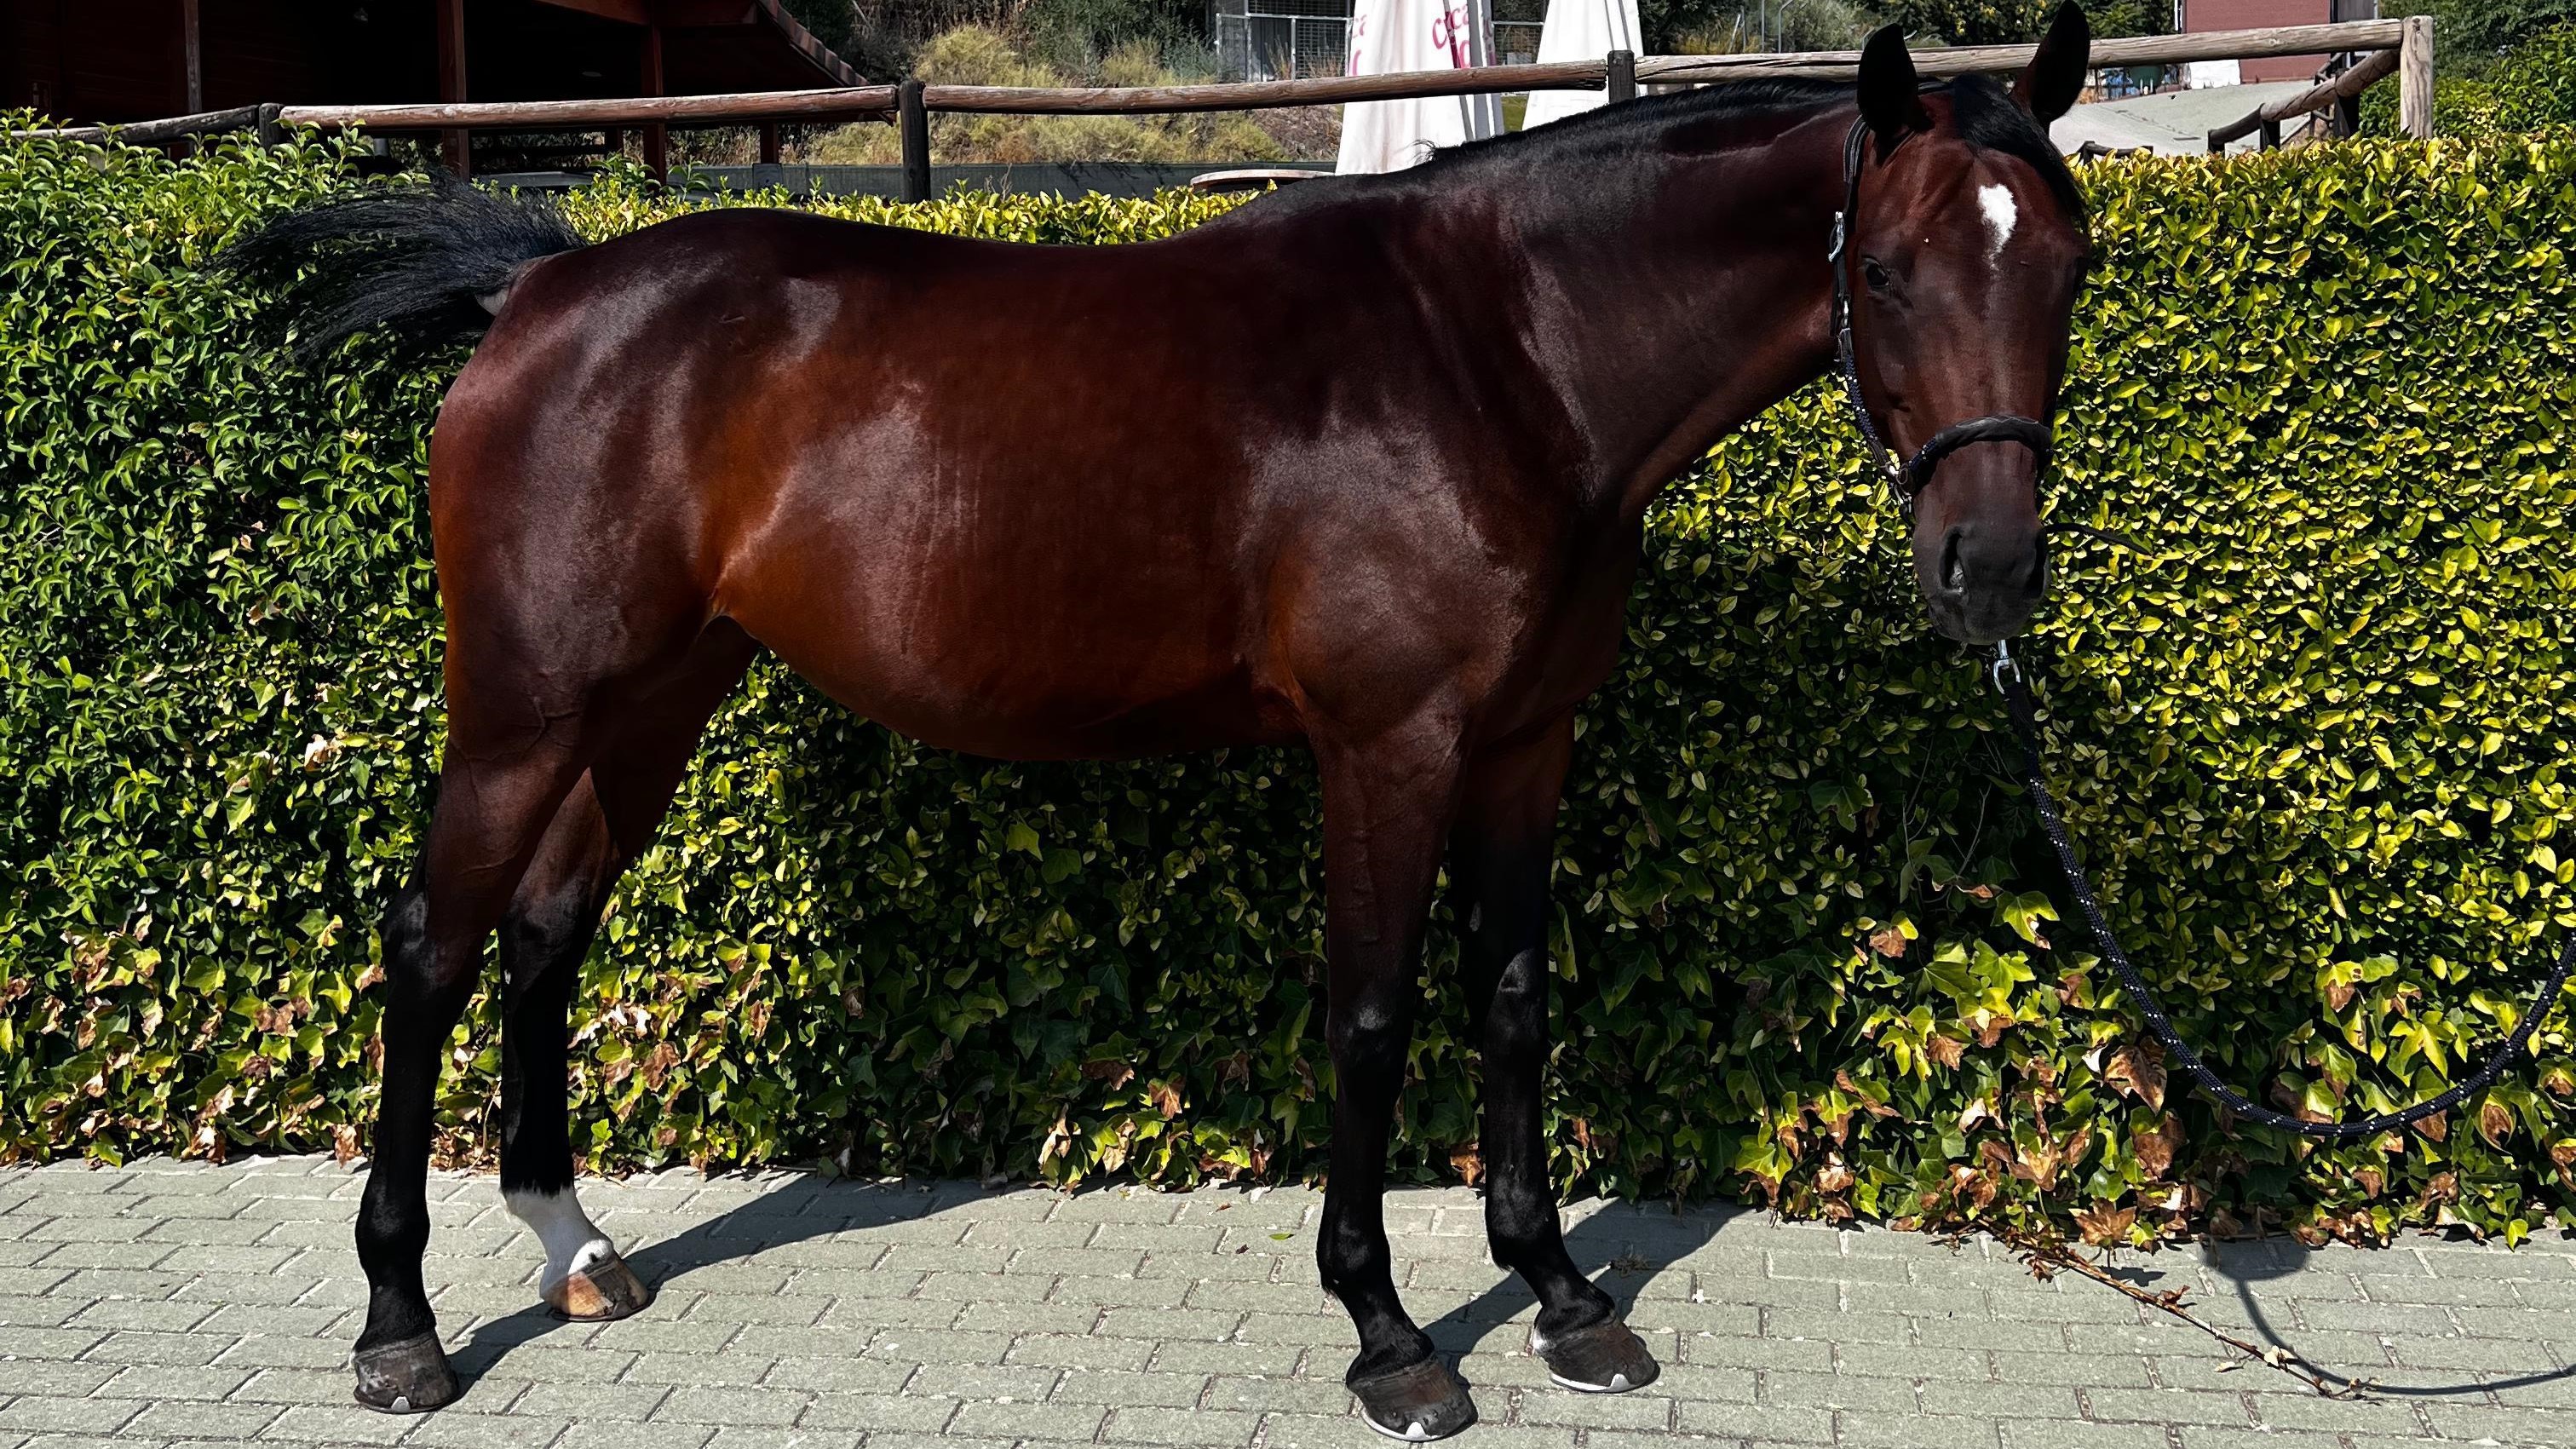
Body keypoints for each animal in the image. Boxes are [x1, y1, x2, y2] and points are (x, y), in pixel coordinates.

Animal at [225, 7, 2095, 1437]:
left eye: (2070, 266)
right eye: (1890, 267)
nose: (1989, 567)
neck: (1497, 358)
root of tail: (544, 287)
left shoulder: (1523, 743)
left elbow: (1510, 1002)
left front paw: (1565, 1297)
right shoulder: (1389, 746)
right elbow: (1369, 1018)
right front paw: (1390, 1336)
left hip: (655, 698)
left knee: (545, 933)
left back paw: (572, 1245)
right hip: (524, 712)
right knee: (431, 948)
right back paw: (400, 1325)